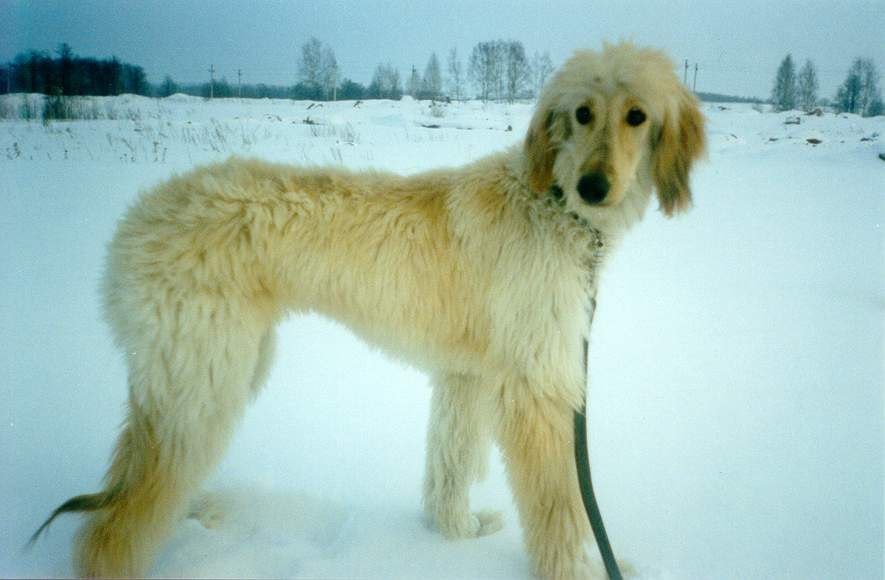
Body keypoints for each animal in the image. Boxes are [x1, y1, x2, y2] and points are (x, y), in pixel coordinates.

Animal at [38, 44, 704, 580]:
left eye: (638, 115)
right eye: (582, 113)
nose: (595, 188)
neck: (549, 204)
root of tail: (135, 224)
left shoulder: (467, 375)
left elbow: (449, 465)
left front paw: (454, 535)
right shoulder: (534, 385)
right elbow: (560, 505)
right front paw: (583, 570)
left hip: (196, 372)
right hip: (202, 381)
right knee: (111, 529)